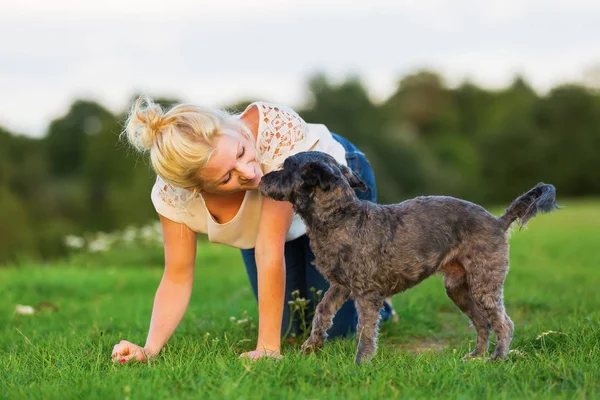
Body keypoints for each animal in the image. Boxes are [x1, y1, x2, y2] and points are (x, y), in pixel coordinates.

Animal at [260, 152, 560, 364]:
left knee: (503, 323)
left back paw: (497, 359)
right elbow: (322, 313)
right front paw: (311, 347)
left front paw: (361, 363)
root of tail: (498, 222)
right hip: (458, 289)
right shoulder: (340, 286)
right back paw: (476, 356)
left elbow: (364, 329)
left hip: (485, 285)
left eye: (287, 166)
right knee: (481, 323)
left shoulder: (367, 294)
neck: (340, 217)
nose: (262, 179)